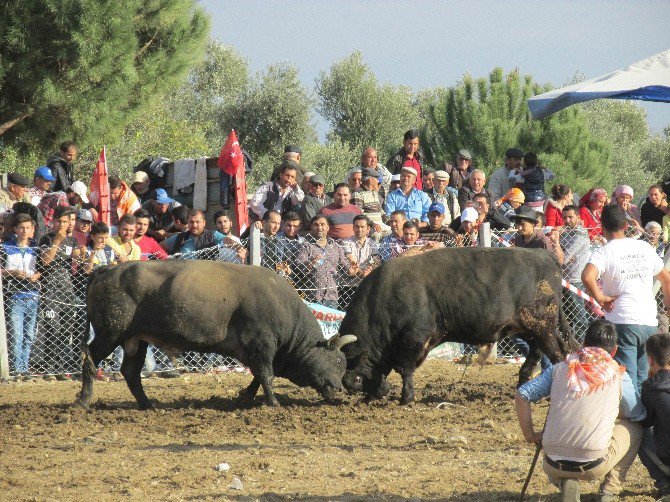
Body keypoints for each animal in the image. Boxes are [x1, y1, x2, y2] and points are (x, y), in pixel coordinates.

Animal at [75, 260, 356, 410]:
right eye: (337, 361)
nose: (338, 389)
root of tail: (106, 271)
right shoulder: (262, 345)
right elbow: (266, 374)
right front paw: (273, 402)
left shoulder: (254, 351)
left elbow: (257, 375)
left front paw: (245, 396)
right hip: (109, 334)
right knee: (90, 359)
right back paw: (84, 400)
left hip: (137, 339)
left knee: (131, 373)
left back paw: (148, 404)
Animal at [342, 247, 576, 404]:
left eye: (357, 378)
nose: (376, 394)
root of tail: (543, 254)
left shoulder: (413, 339)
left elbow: (404, 369)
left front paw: (406, 398)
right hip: (533, 330)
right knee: (537, 355)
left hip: (543, 329)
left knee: (557, 356)